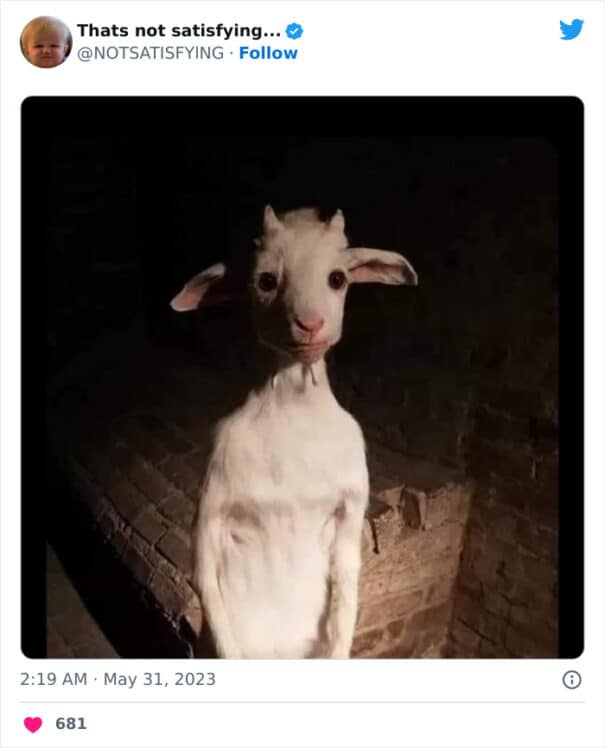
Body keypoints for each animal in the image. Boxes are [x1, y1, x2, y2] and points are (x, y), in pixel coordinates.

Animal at [170, 206, 417, 658]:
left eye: (338, 278)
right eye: (266, 281)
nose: (310, 323)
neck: (294, 407)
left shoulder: (352, 499)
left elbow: (348, 579)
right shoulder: (215, 489)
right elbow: (203, 568)